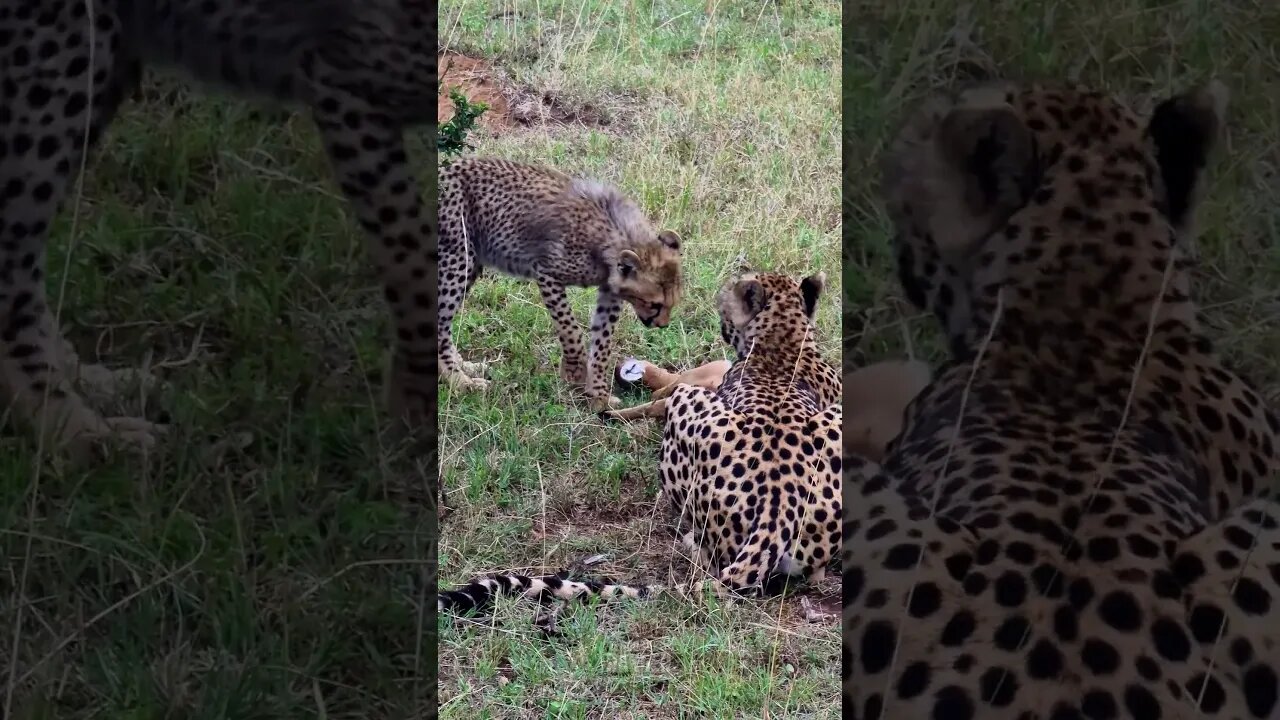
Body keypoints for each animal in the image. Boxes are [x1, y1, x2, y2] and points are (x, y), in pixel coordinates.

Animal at [0, 0, 435, 462]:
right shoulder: (343, 84)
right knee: (12, 270)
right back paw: (83, 436)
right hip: (69, 46)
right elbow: (411, 251)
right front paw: (417, 404)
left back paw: (96, 383)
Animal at [438, 156, 683, 412]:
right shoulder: (547, 274)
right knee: (440, 325)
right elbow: (570, 329)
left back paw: (465, 366)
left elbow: (602, 343)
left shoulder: (610, 293)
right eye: (654, 304)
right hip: (458, 261)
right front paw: (575, 372)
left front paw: (599, 396)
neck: (615, 237)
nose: (663, 325)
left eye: (672, 303)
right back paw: (460, 382)